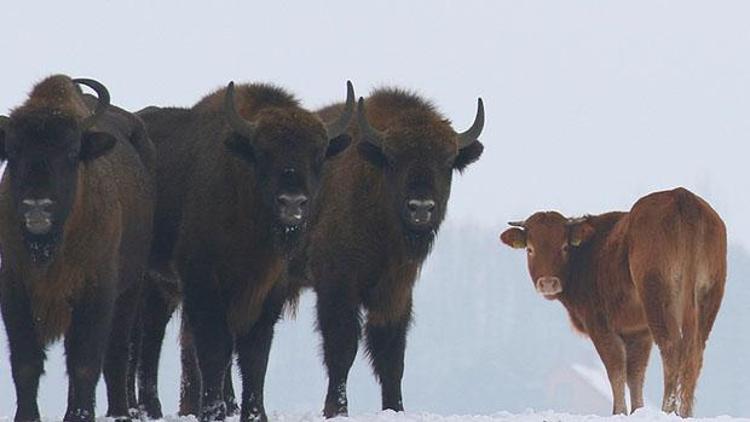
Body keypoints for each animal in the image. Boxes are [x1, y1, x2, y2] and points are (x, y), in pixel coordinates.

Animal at [0, 76, 155, 422]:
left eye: (71, 151)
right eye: (12, 151)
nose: (37, 205)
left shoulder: (96, 290)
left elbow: (85, 363)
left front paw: (81, 416)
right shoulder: (15, 287)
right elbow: (26, 362)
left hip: (130, 290)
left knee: (116, 354)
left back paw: (119, 411)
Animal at [134, 80, 356, 422]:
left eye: (318, 155)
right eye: (263, 153)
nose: (292, 203)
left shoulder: (269, 290)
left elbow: (254, 354)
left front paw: (255, 414)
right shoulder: (203, 283)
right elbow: (215, 348)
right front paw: (213, 412)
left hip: (161, 288)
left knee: (150, 338)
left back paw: (151, 409)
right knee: (142, 340)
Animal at [300, 87, 488, 418]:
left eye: (447, 160)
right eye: (393, 158)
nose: (421, 208)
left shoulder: (396, 291)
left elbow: (390, 355)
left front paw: (395, 409)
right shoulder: (337, 284)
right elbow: (343, 346)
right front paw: (336, 410)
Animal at [502, 187, 724, 416]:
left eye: (564, 247)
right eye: (530, 249)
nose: (548, 283)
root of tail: (681, 196)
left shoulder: (600, 325)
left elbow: (615, 368)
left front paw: (619, 411)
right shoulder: (639, 332)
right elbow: (635, 374)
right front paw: (637, 410)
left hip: (658, 298)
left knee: (671, 348)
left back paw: (667, 410)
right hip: (708, 297)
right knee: (695, 353)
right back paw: (686, 412)